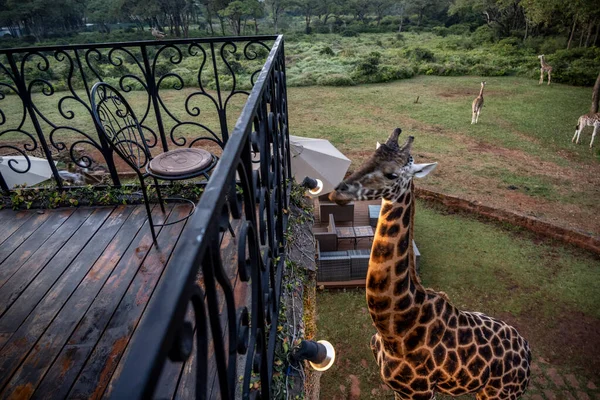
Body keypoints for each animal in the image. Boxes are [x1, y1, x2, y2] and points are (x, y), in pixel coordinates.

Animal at [330, 128, 532, 400]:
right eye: (369, 158)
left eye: (392, 174)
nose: (338, 192)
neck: (395, 331)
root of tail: (528, 354)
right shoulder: (398, 389)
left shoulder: (422, 391)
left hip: (498, 394)